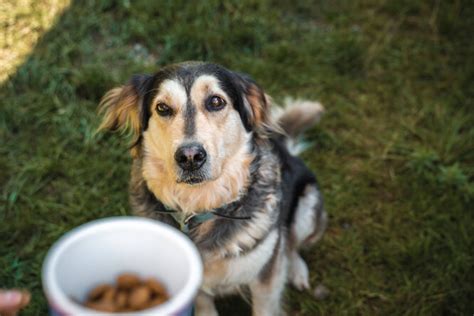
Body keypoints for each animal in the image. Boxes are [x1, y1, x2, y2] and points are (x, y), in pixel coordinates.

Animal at [96, 61, 326, 316]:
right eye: (162, 107)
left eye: (216, 101)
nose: (190, 157)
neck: (199, 206)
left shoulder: (266, 279)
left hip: (308, 207)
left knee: (292, 244)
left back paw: (297, 270)